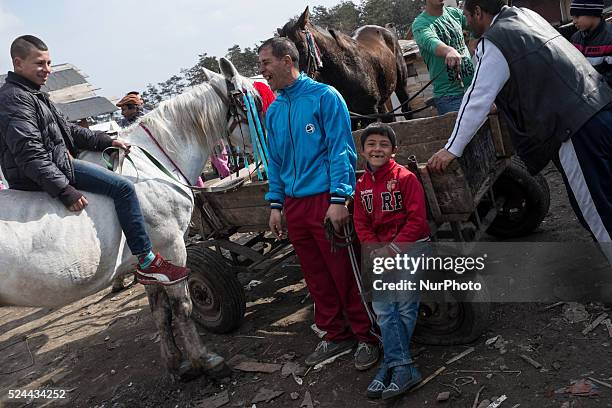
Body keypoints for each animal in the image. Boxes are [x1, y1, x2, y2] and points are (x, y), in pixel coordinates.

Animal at [0, 57, 258, 376]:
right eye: (252, 98)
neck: (152, 162)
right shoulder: (171, 247)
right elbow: (182, 306)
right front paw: (204, 359)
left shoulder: (147, 258)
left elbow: (159, 310)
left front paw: (175, 361)